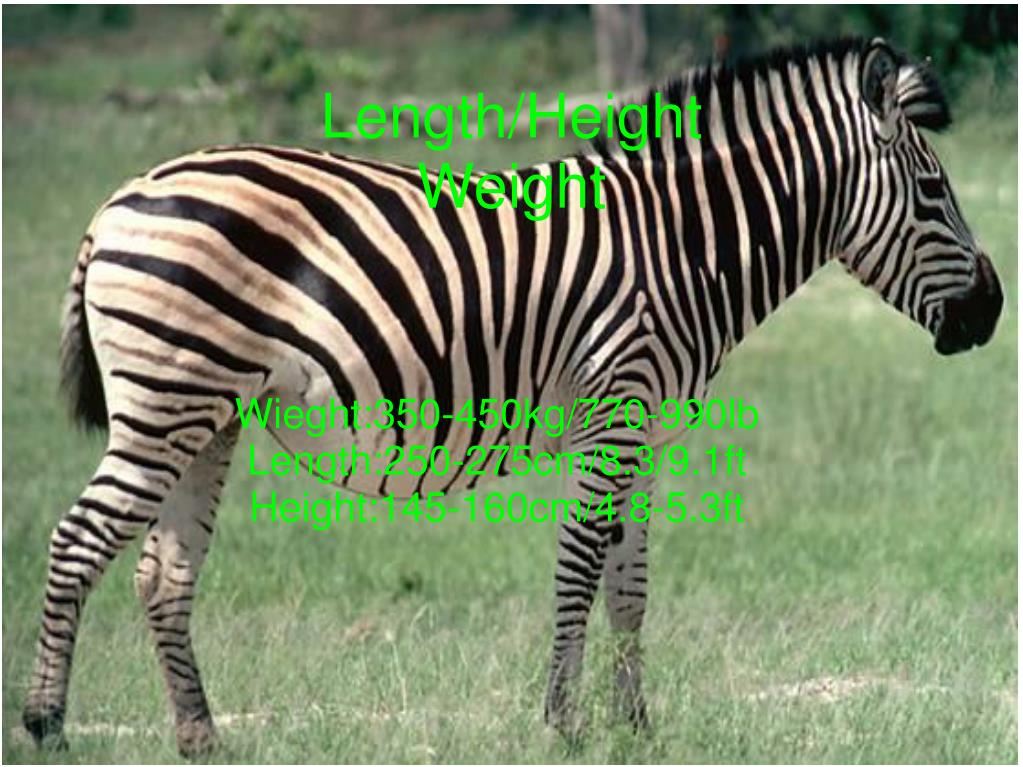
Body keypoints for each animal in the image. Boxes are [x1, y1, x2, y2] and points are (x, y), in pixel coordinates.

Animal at [24, 37, 1002, 755]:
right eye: (931, 192)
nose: (991, 310)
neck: (681, 245)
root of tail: (118, 200)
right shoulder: (614, 407)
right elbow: (577, 561)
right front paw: (563, 724)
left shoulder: (643, 430)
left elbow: (630, 584)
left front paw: (635, 728)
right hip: (165, 401)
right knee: (77, 542)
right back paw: (47, 725)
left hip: (208, 415)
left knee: (162, 571)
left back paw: (201, 737)